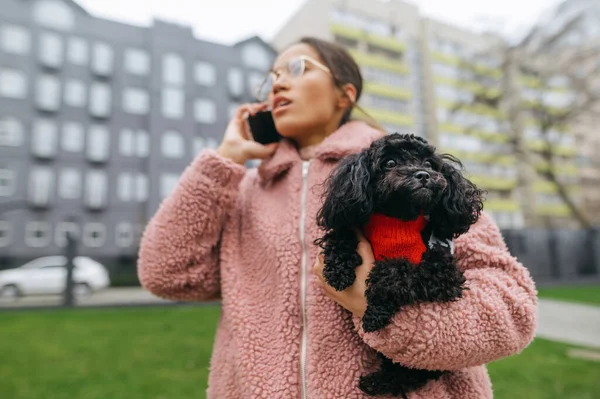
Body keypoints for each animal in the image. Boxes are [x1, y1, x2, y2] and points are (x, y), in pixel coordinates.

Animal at [314, 134, 482, 396]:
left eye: (429, 163)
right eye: (390, 162)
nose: (423, 175)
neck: (398, 221)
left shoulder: (444, 274)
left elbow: (396, 270)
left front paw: (374, 312)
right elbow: (341, 233)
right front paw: (337, 270)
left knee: (411, 374)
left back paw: (377, 382)